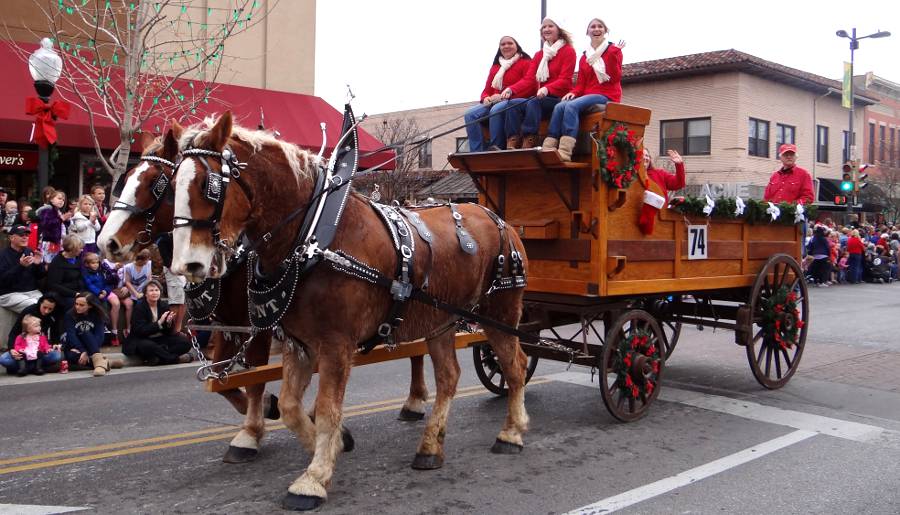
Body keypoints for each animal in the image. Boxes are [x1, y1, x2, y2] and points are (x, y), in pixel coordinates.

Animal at [94, 130, 428, 468]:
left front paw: (251, 432)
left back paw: (414, 401)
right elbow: (221, 379)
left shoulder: (260, 328)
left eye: (158, 184)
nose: (107, 242)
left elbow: (254, 377)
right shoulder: (230, 324)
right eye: (126, 179)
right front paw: (274, 409)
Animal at [168, 113, 532, 512]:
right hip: (442, 320)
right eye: (171, 185)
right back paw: (430, 447)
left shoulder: (336, 344)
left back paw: (511, 433)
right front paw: (334, 447)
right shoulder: (299, 343)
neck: (313, 235)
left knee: (515, 367)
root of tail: (497, 218)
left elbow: (327, 408)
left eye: (208, 186)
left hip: (501, 310)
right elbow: (292, 407)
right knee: (450, 376)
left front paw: (313, 479)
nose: (187, 265)